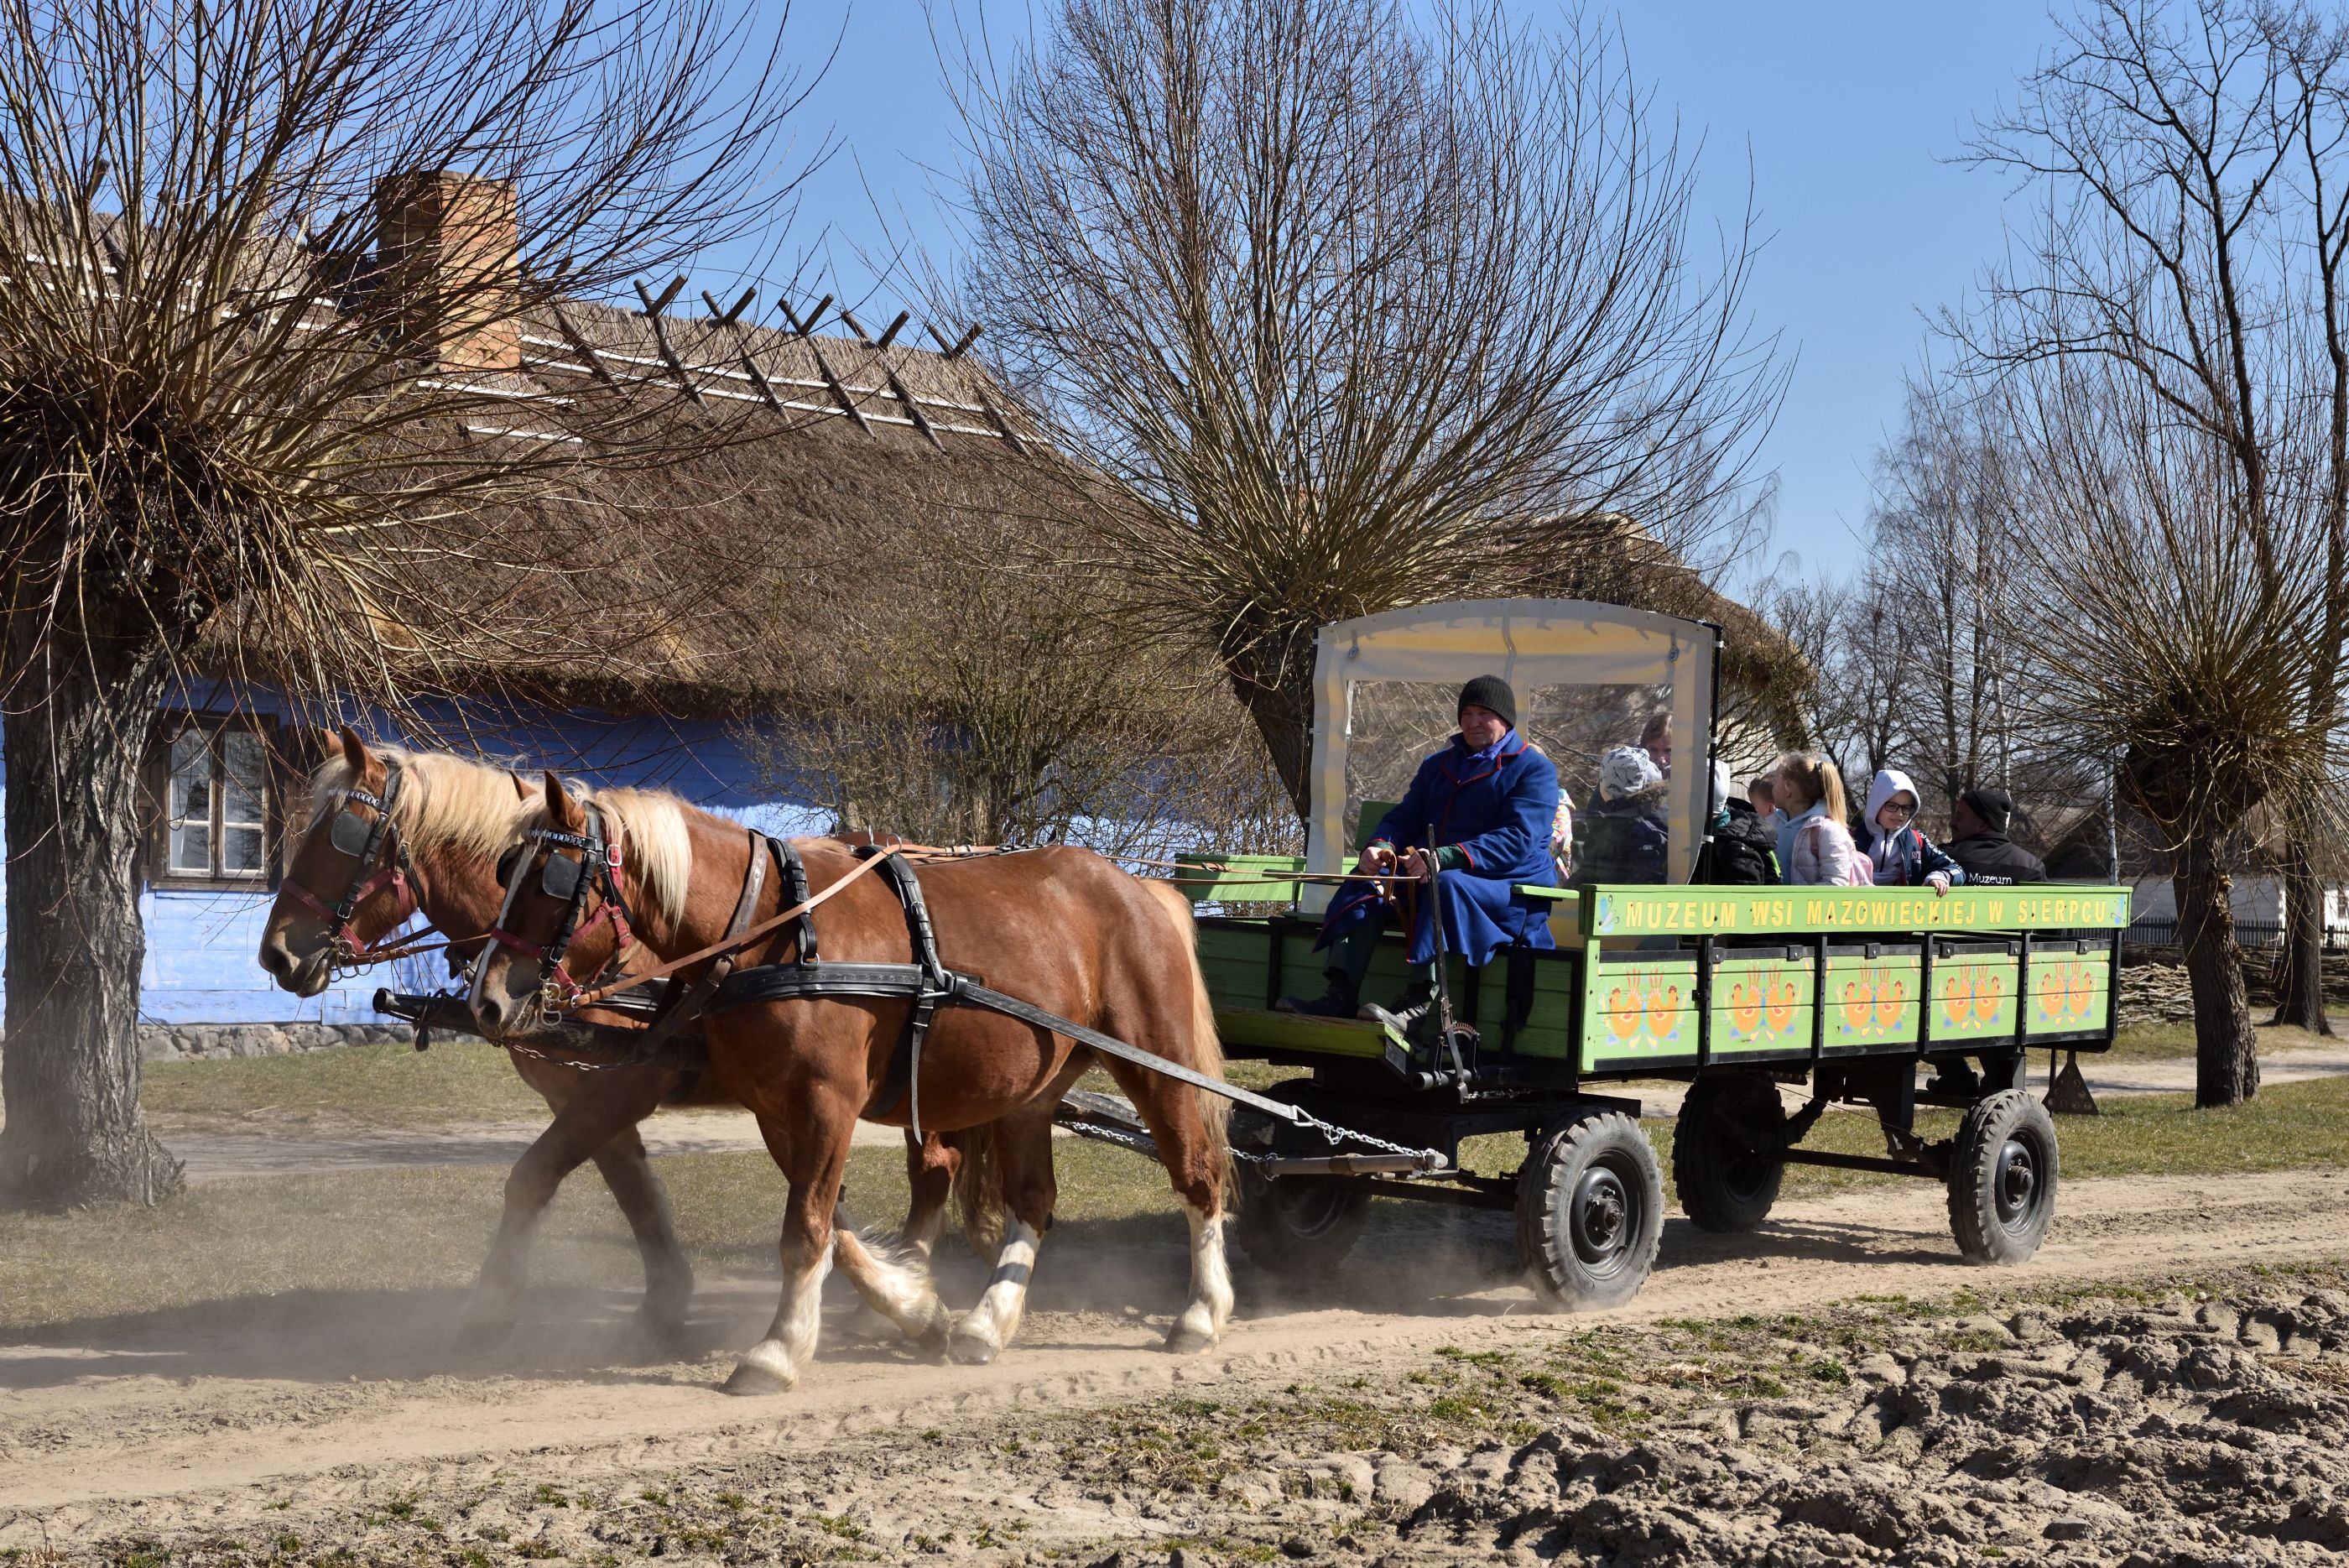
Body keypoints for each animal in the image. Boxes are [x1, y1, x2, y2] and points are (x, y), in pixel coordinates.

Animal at [264, 727, 972, 1342]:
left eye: (344, 837)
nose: (275, 953)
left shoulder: (626, 1083)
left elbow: (534, 1176)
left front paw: (489, 1306)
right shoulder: (588, 1091)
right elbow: (636, 1192)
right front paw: (667, 1299)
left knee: (936, 1167)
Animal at [458, 769, 1231, 1399]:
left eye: (553, 881)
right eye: (503, 868)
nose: (485, 1001)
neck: (773, 929)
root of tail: (1140, 886)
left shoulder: (826, 1102)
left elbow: (805, 1229)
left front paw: (775, 1351)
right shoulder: (776, 1108)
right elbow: (833, 1226)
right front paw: (917, 1311)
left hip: (1154, 1062)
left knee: (1197, 1176)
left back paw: (1201, 1311)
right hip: (1032, 1091)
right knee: (1033, 1200)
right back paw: (986, 1322)